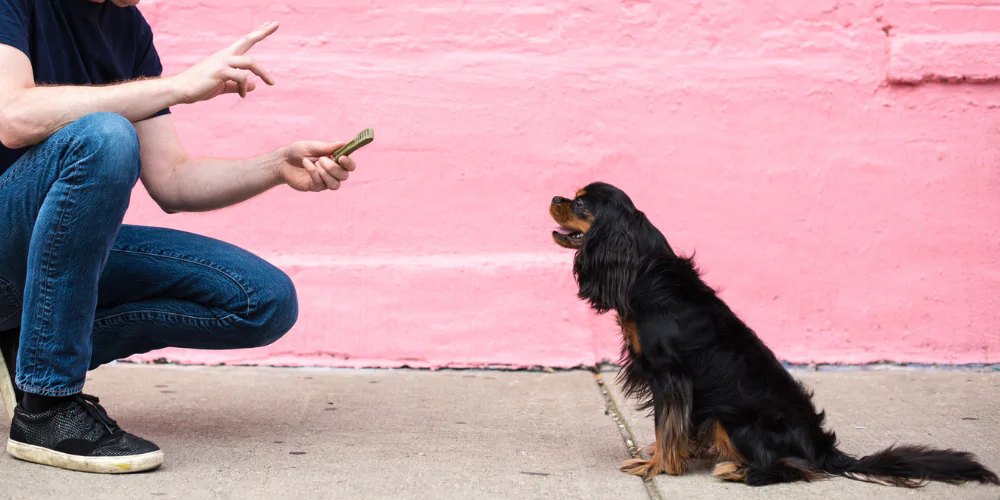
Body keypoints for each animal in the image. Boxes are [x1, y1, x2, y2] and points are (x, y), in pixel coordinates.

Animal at [552, 182, 996, 486]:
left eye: (580, 203)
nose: (555, 197)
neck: (640, 268)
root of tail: (824, 448)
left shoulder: (669, 375)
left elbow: (667, 426)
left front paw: (657, 466)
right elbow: (679, 428)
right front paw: (678, 457)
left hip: (735, 422)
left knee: (793, 469)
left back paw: (739, 470)